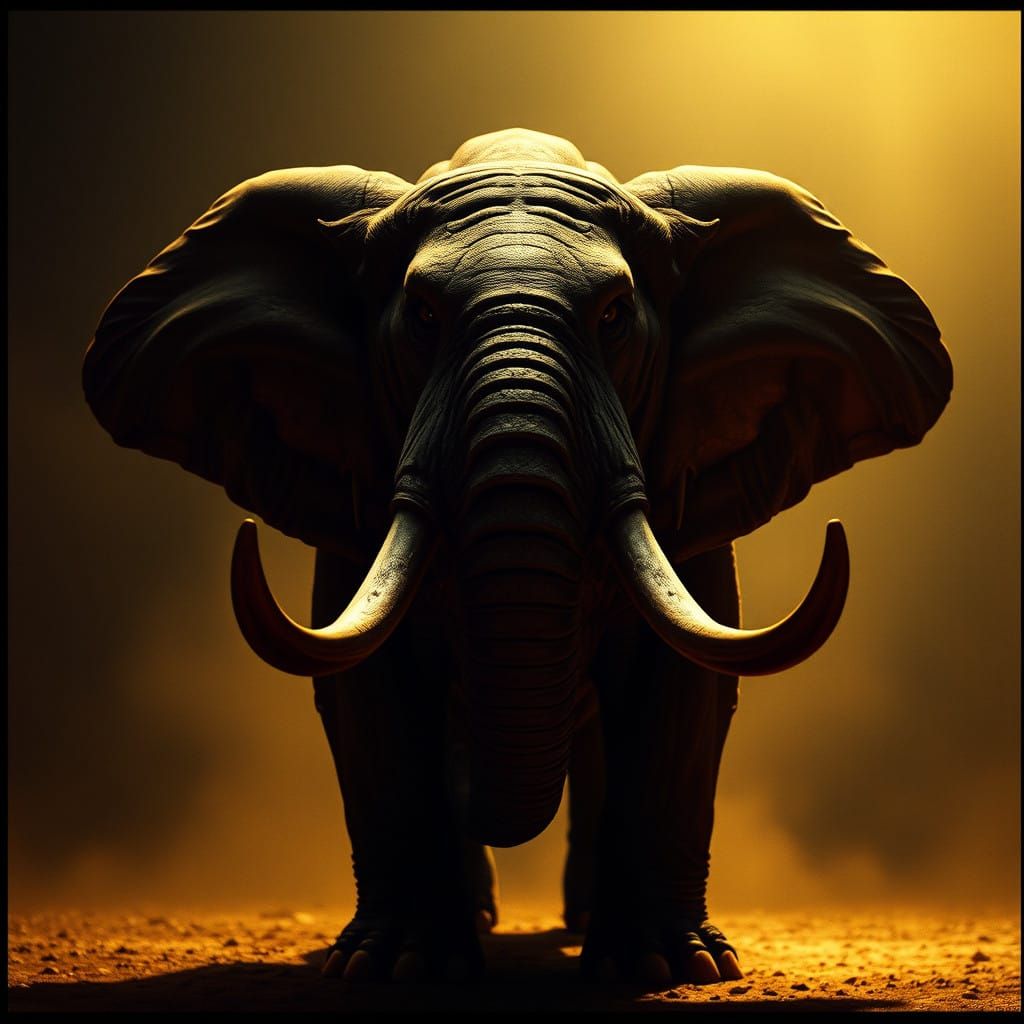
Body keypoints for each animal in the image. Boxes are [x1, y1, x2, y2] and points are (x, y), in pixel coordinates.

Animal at [83, 128, 952, 986]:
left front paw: (666, 966)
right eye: (422, 314)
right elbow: (369, 693)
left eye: (615, 315)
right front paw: (394, 965)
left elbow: (682, 690)